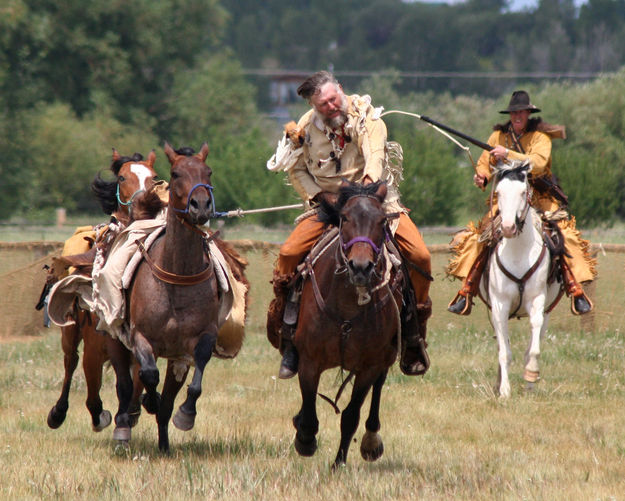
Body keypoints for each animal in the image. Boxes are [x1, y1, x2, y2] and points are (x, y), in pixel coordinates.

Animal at [45, 148, 162, 430]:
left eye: (154, 177)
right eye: (121, 178)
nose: (145, 205)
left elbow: (135, 384)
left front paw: (136, 409)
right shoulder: (97, 346)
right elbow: (96, 394)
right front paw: (104, 415)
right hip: (71, 333)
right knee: (71, 362)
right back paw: (58, 412)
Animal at [111, 142, 225, 454]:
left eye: (209, 171)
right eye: (175, 174)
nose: (201, 205)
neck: (178, 276)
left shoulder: (199, 338)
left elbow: (197, 371)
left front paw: (185, 414)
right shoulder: (139, 336)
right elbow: (148, 374)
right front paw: (149, 401)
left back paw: (163, 442)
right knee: (128, 382)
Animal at [288, 181, 404, 468]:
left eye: (382, 220)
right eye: (345, 218)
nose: (361, 267)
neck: (348, 306)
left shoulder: (368, 367)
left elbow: (351, 415)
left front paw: (338, 463)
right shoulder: (309, 361)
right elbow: (309, 412)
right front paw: (305, 440)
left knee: (378, 389)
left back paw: (371, 441)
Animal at [480, 161, 564, 398]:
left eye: (522, 192)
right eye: (498, 192)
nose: (508, 228)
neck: (518, 252)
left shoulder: (537, 301)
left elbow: (533, 348)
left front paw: (531, 374)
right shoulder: (499, 306)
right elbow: (504, 352)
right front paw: (504, 390)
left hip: (548, 310)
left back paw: (529, 386)